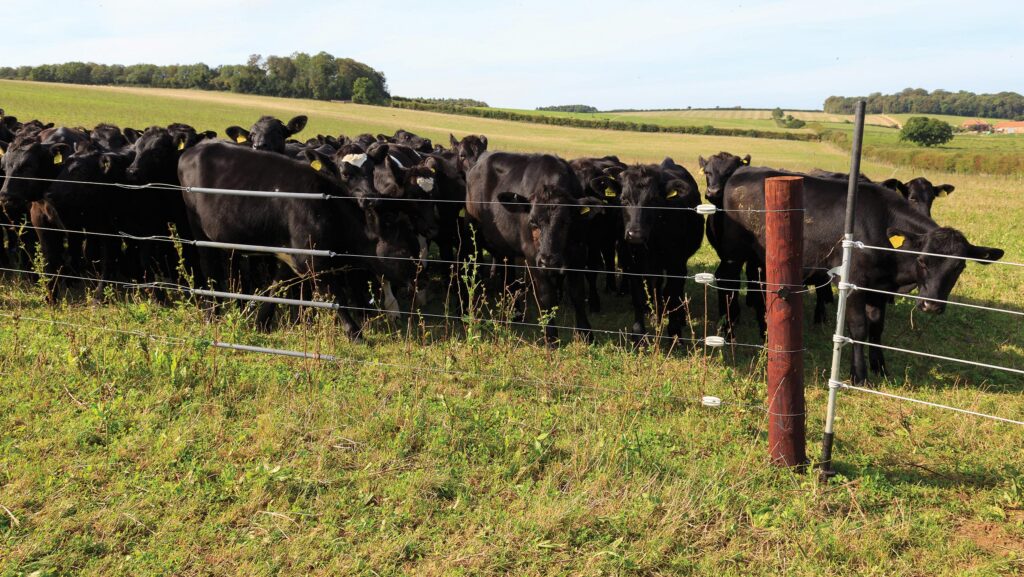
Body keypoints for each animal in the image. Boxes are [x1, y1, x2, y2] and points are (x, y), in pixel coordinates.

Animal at [178, 142, 421, 338]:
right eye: (403, 252)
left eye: (372, 171)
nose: (417, 280)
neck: (328, 208)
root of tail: (192, 150)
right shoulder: (312, 259)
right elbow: (335, 296)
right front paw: (355, 333)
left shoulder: (292, 256)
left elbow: (277, 286)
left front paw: (261, 322)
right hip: (199, 232)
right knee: (209, 267)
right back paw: (212, 314)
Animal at [465, 151, 603, 344]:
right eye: (532, 222)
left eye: (566, 222)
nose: (548, 260)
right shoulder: (533, 257)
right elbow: (546, 295)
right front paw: (551, 338)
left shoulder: (579, 253)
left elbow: (577, 293)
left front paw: (586, 334)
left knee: (508, 272)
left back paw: (515, 312)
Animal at [602, 158, 704, 341]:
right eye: (623, 199)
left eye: (653, 200)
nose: (635, 234)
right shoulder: (631, 264)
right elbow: (639, 296)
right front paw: (638, 334)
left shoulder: (676, 264)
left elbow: (672, 294)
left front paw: (675, 332)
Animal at [717, 166, 1003, 384]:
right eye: (922, 260)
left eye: (959, 267)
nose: (931, 305)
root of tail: (743, 171)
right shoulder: (853, 283)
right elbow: (858, 328)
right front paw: (859, 374)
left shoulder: (880, 288)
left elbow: (877, 328)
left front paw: (881, 368)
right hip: (734, 255)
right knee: (728, 286)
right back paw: (729, 332)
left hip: (761, 259)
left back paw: (765, 332)